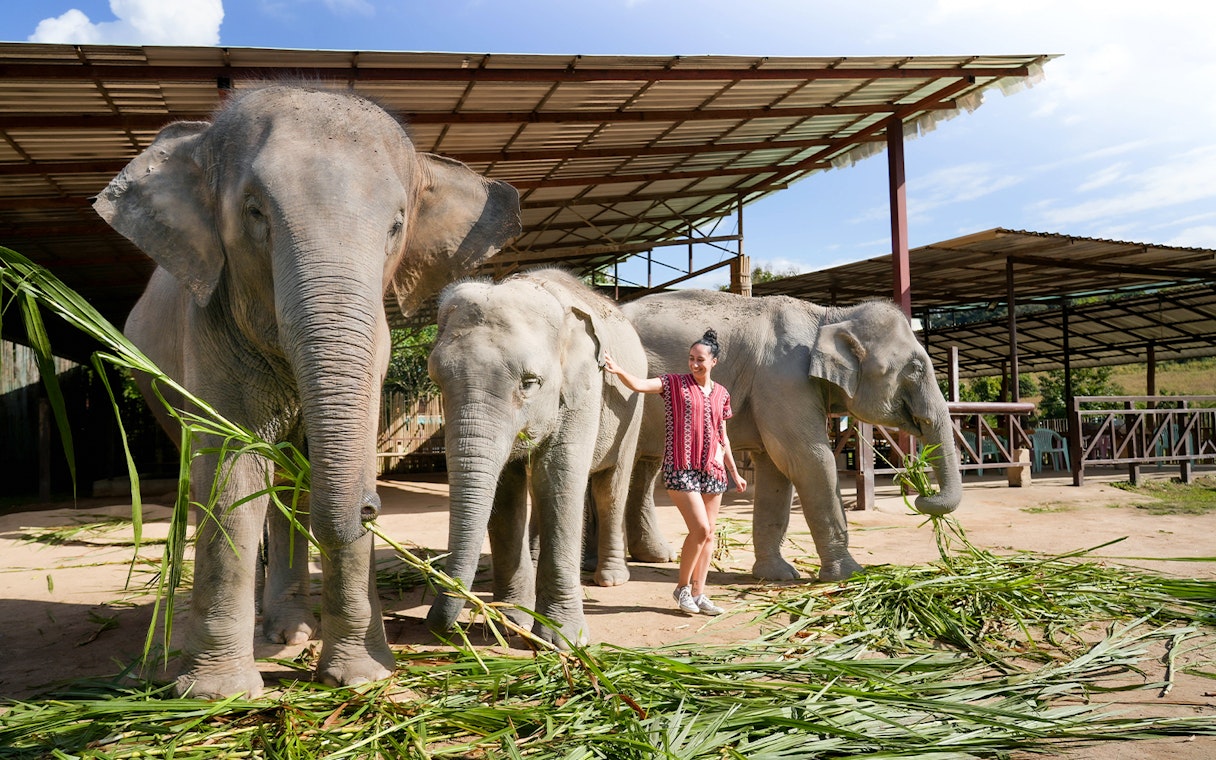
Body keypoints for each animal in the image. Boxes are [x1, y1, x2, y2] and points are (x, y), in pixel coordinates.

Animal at [93, 84, 521, 698]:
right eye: (254, 212)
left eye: (397, 225)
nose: (371, 506)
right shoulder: (209, 325)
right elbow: (232, 474)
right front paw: (216, 694)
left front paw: (361, 679)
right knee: (210, 479)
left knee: (291, 488)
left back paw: (291, 632)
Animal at [424, 268, 646, 648]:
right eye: (437, 380)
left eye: (529, 383)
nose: (435, 625)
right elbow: (506, 492)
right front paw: (512, 621)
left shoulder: (585, 389)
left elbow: (558, 479)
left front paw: (563, 640)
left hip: (633, 409)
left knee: (609, 488)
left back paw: (610, 578)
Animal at [621, 290, 962, 582]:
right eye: (915, 368)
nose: (921, 495)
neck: (829, 316)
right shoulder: (783, 379)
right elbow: (809, 460)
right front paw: (851, 575)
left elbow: (776, 470)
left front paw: (777, 575)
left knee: (645, 463)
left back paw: (655, 557)